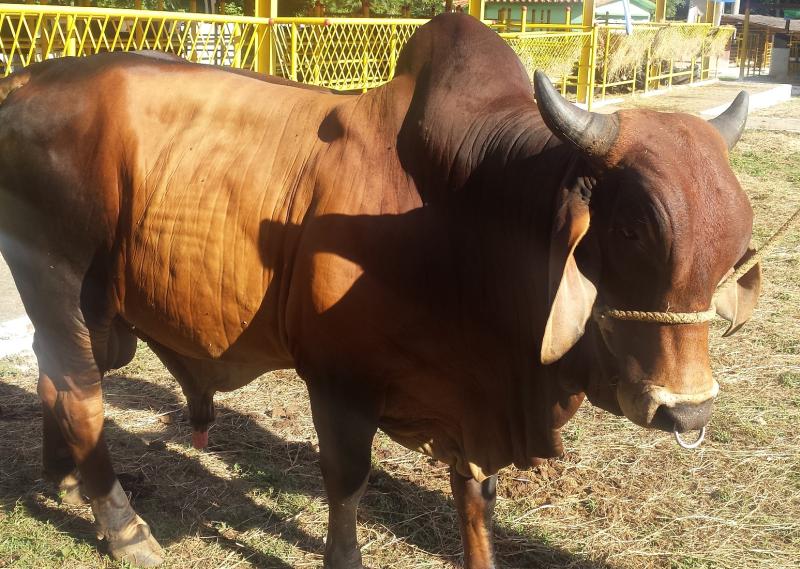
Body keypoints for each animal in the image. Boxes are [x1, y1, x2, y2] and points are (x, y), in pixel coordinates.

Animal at [0, 13, 760, 568]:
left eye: (732, 247)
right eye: (632, 228)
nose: (689, 410)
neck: (467, 210)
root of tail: (24, 81)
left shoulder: (469, 399)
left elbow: (475, 494)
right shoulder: (339, 381)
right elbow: (347, 481)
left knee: (55, 381)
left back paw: (63, 477)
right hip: (59, 287)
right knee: (80, 396)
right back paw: (124, 526)